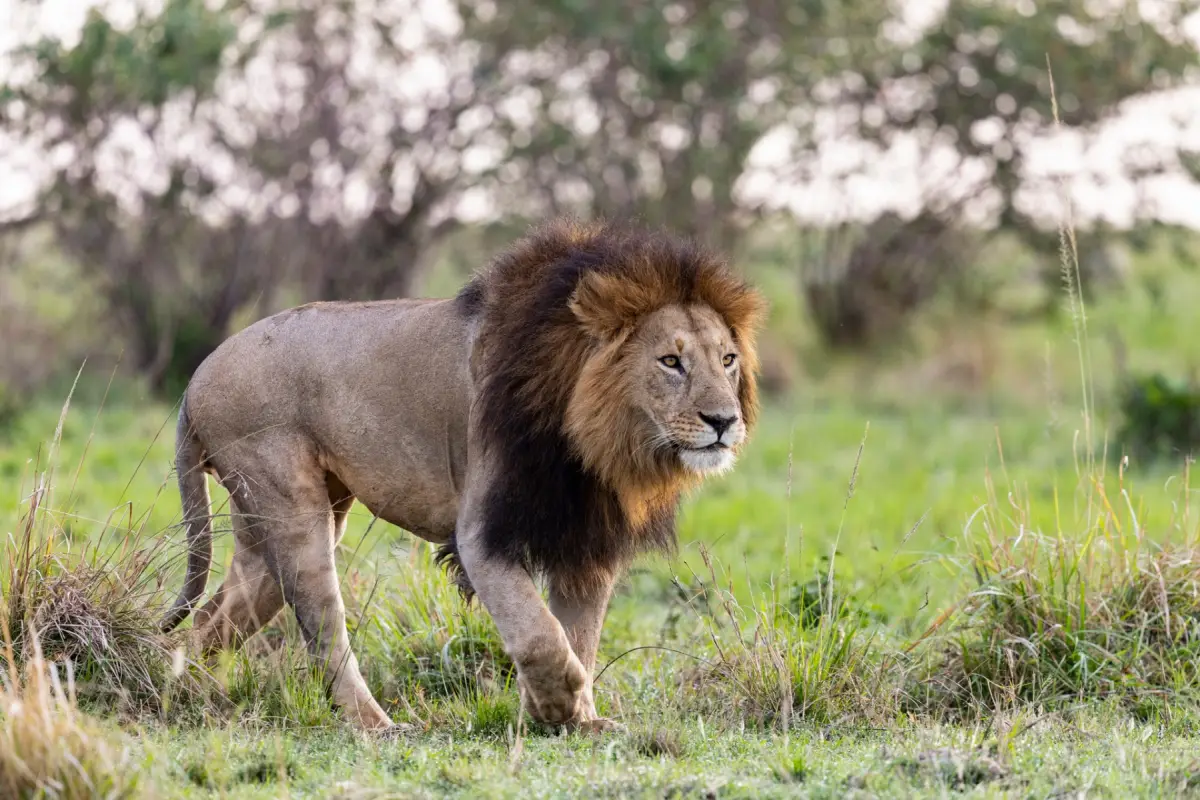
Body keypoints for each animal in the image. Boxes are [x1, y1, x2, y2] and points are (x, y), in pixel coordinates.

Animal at [161, 218, 766, 733]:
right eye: (671, 361)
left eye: (727, 360)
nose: (723, 421)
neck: (593, 444)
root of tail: (195, 379)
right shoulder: (482, 533)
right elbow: (540, 633)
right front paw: (557, 704)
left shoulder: (584, 536)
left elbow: (579, 633)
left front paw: (580, 719)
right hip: (290, 504)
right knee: (321, 620)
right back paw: (375, 725)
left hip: (270, 527)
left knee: (213, 620)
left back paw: (187, 692)